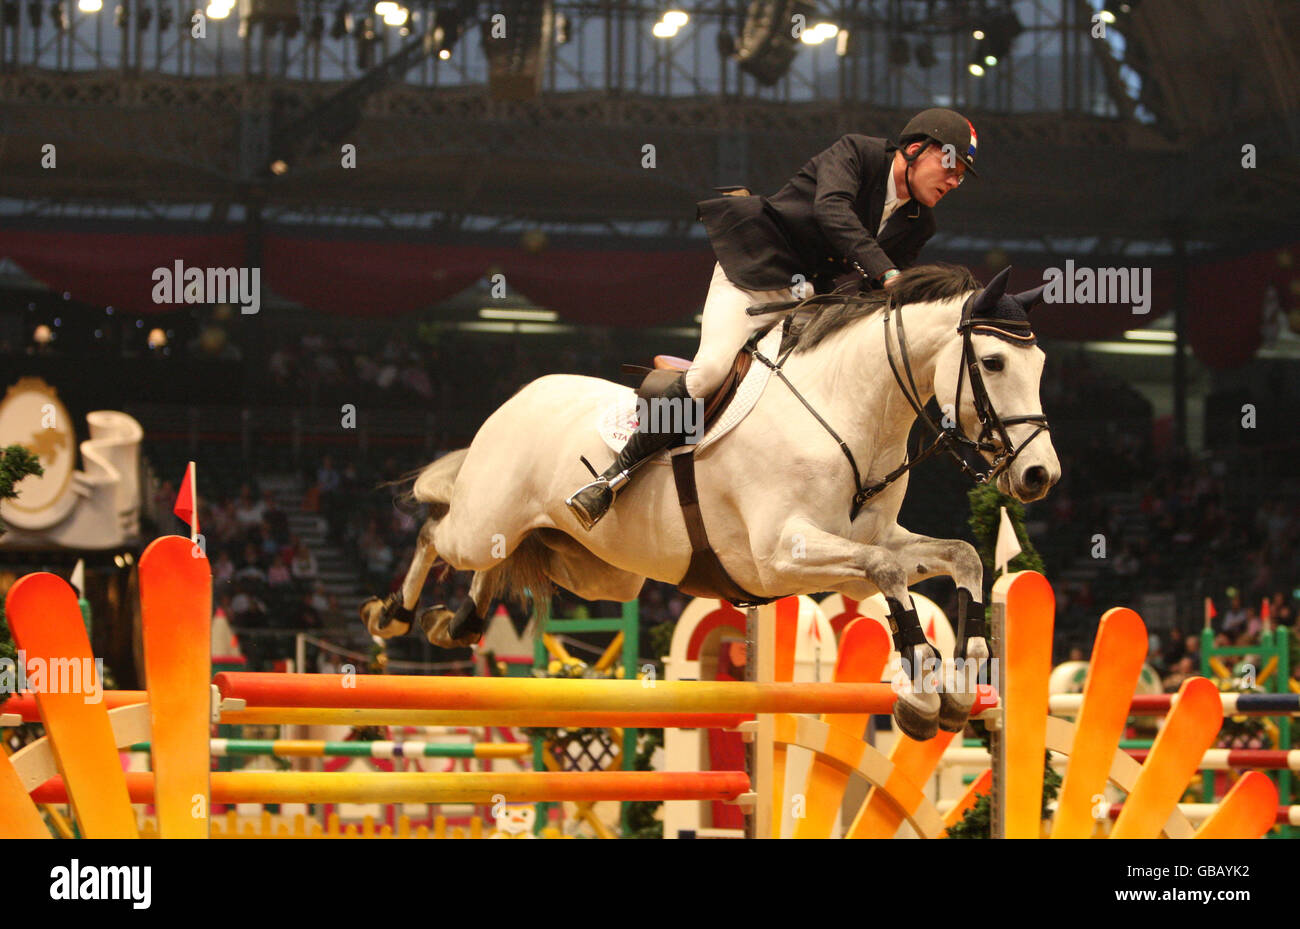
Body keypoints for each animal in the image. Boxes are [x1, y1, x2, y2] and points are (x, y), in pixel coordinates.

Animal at [364, 267, 1055, 743]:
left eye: (1041, 362)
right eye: (993, 361)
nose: (1039, 474)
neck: (844, 414)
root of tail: (524, 393)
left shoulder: (868, 545)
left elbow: (962, 557)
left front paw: (963, 682)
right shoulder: (779, 555)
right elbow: (889, 576)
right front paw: (921, 691)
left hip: (596, 570)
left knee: (506, 564)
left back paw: (458, 624)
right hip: (487, 519)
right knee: (436, 533)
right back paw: (393, 614)